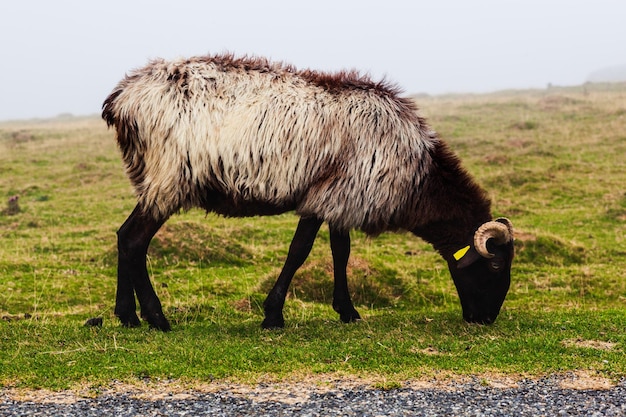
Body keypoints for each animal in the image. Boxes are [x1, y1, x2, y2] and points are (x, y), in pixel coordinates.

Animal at [101, 53, 512, 330]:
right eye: (495, 264)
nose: (486, 319)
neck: (417, 179)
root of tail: (123, 98)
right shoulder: (328, 196)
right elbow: (300, 251)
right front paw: (273, 316)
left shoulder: (340, 199)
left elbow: (340, 253)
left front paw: (347, 311)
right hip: (169, 177)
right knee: (135, 240)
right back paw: (156, 318)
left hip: (157, 180)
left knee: (123, 236)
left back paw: (127, 316)